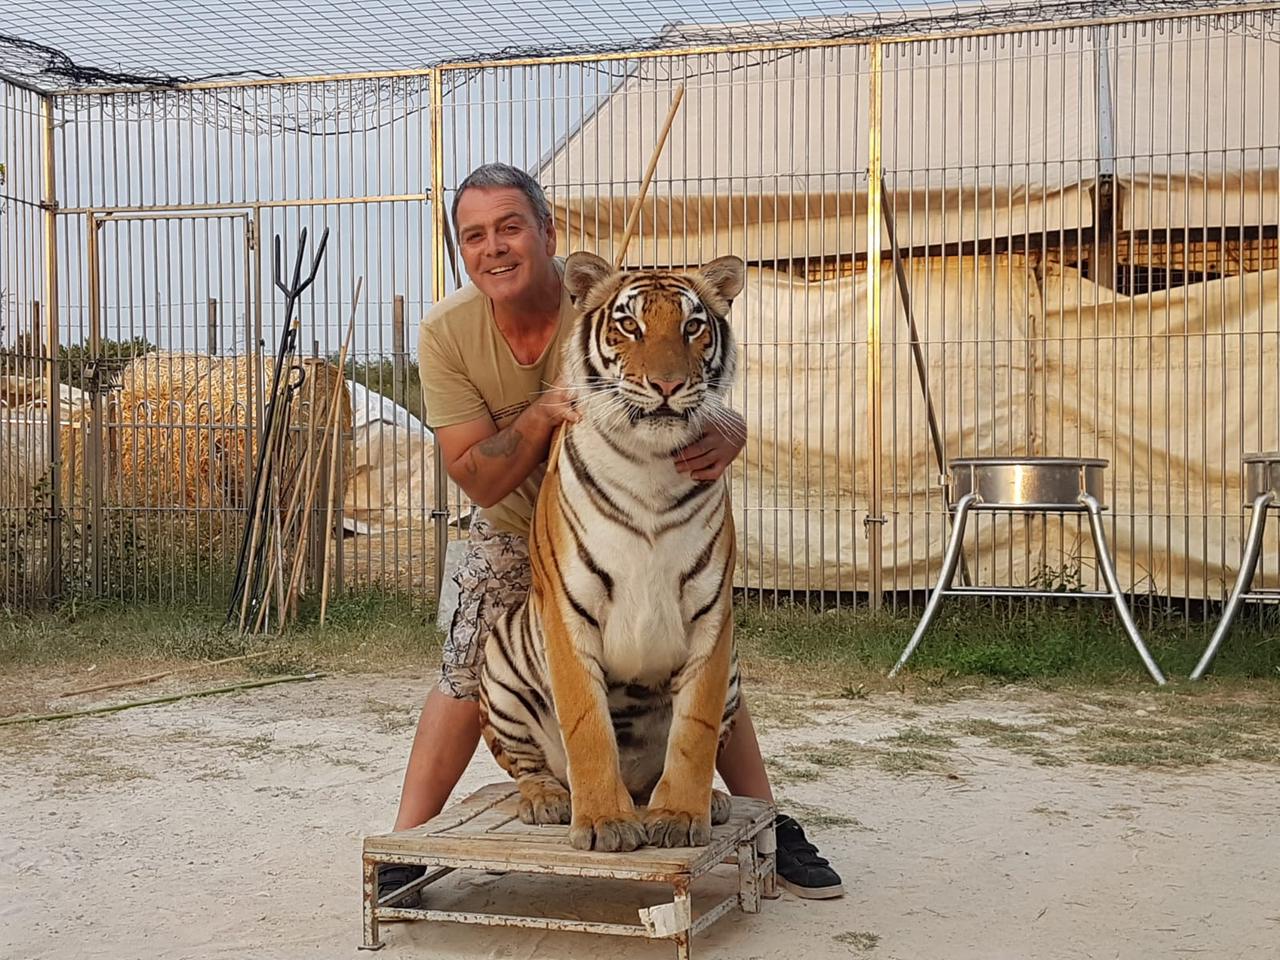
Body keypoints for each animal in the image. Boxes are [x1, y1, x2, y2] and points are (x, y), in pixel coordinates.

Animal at [476, 252, 747, 855]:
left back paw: (712, 801)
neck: (651, 466)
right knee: (525, 763)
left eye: (693, 326)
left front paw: (680, 814)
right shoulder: (568, 612)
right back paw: (547, 800)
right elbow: (588, 725)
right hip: (499, 664)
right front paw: (604, 823)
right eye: (629, 325)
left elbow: (695, 731)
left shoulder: (712, 617)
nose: (667, 384)